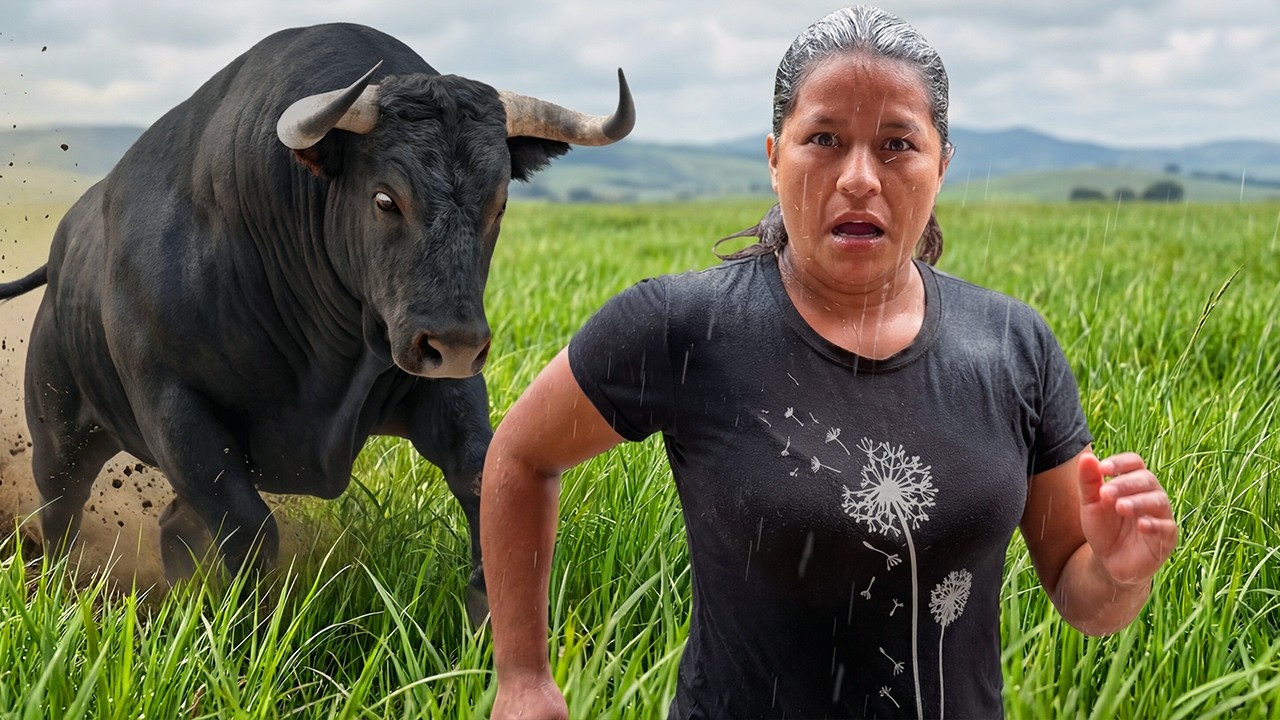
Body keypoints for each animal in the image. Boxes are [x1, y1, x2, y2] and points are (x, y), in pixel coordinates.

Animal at [0, 23, 634, 625]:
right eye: (385, 198)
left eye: (498, 203)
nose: (453, 344)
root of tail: (62, 253)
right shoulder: (176, 411)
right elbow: (250, 528)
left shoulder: (444, 389)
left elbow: (483, 479)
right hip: (59, 438)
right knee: (58, 519)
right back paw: (54, 596)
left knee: (172, 523)